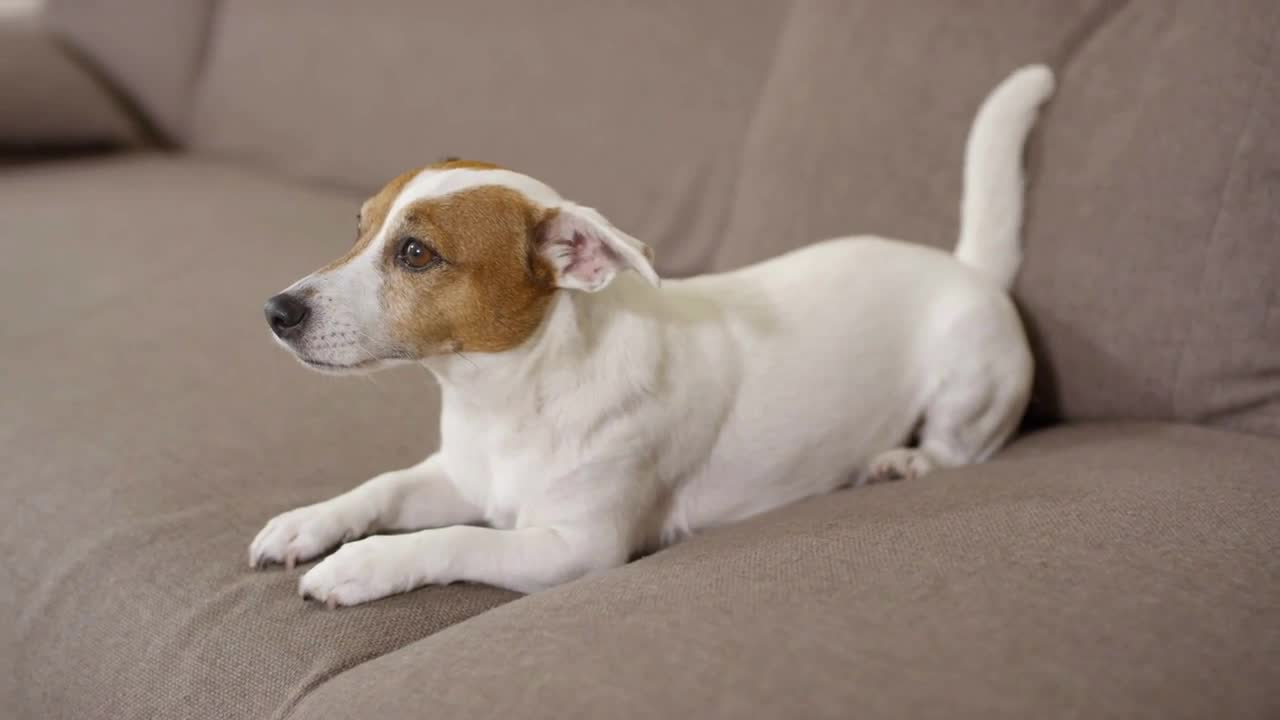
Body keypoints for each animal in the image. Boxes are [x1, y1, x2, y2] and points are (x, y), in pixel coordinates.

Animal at [247, 65, 1049, 604]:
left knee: (960, 448)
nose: (276, 312)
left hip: (969, 380)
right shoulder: (457, 476)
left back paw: (906, 462)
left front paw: (360, 565)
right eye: (357, 229)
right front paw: (307, 523)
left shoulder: (574, 550)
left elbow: (454, 538)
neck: (508, 394)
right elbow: (382, 488)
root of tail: (964, 264)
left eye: (416, 253)